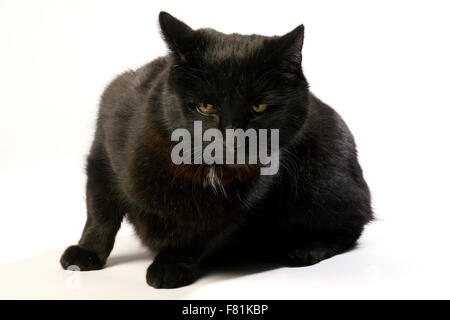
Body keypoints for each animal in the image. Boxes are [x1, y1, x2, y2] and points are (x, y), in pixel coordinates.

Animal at [59, 11, 372, 288]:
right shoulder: (103, 154)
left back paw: (307, 248)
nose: (232, 139)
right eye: (206, 106)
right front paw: (84, 253)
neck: (203, 170)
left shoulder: (239, 209)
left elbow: (199, 234)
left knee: (353, 224)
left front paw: (170, 265)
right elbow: (100, 213)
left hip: (328, 180)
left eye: (259, 107)